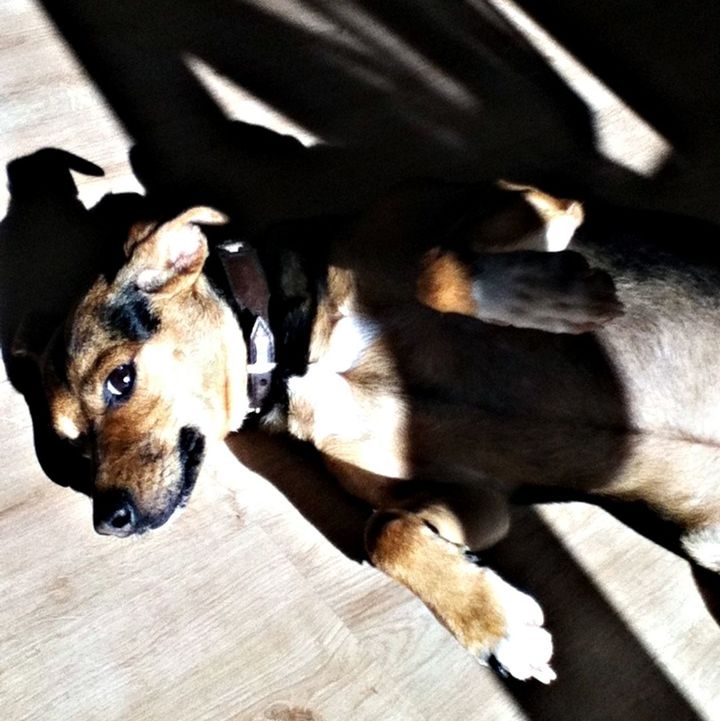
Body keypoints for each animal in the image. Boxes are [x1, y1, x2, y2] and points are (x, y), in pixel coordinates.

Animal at [32, 179, 720, 680]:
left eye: (120, 379)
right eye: (76, 447)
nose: (107, 520)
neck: (291, 348)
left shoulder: (543, 203)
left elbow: (435, 269)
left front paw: (553, 296)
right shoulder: (479, 504)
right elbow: (383, 532)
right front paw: (496, 626)